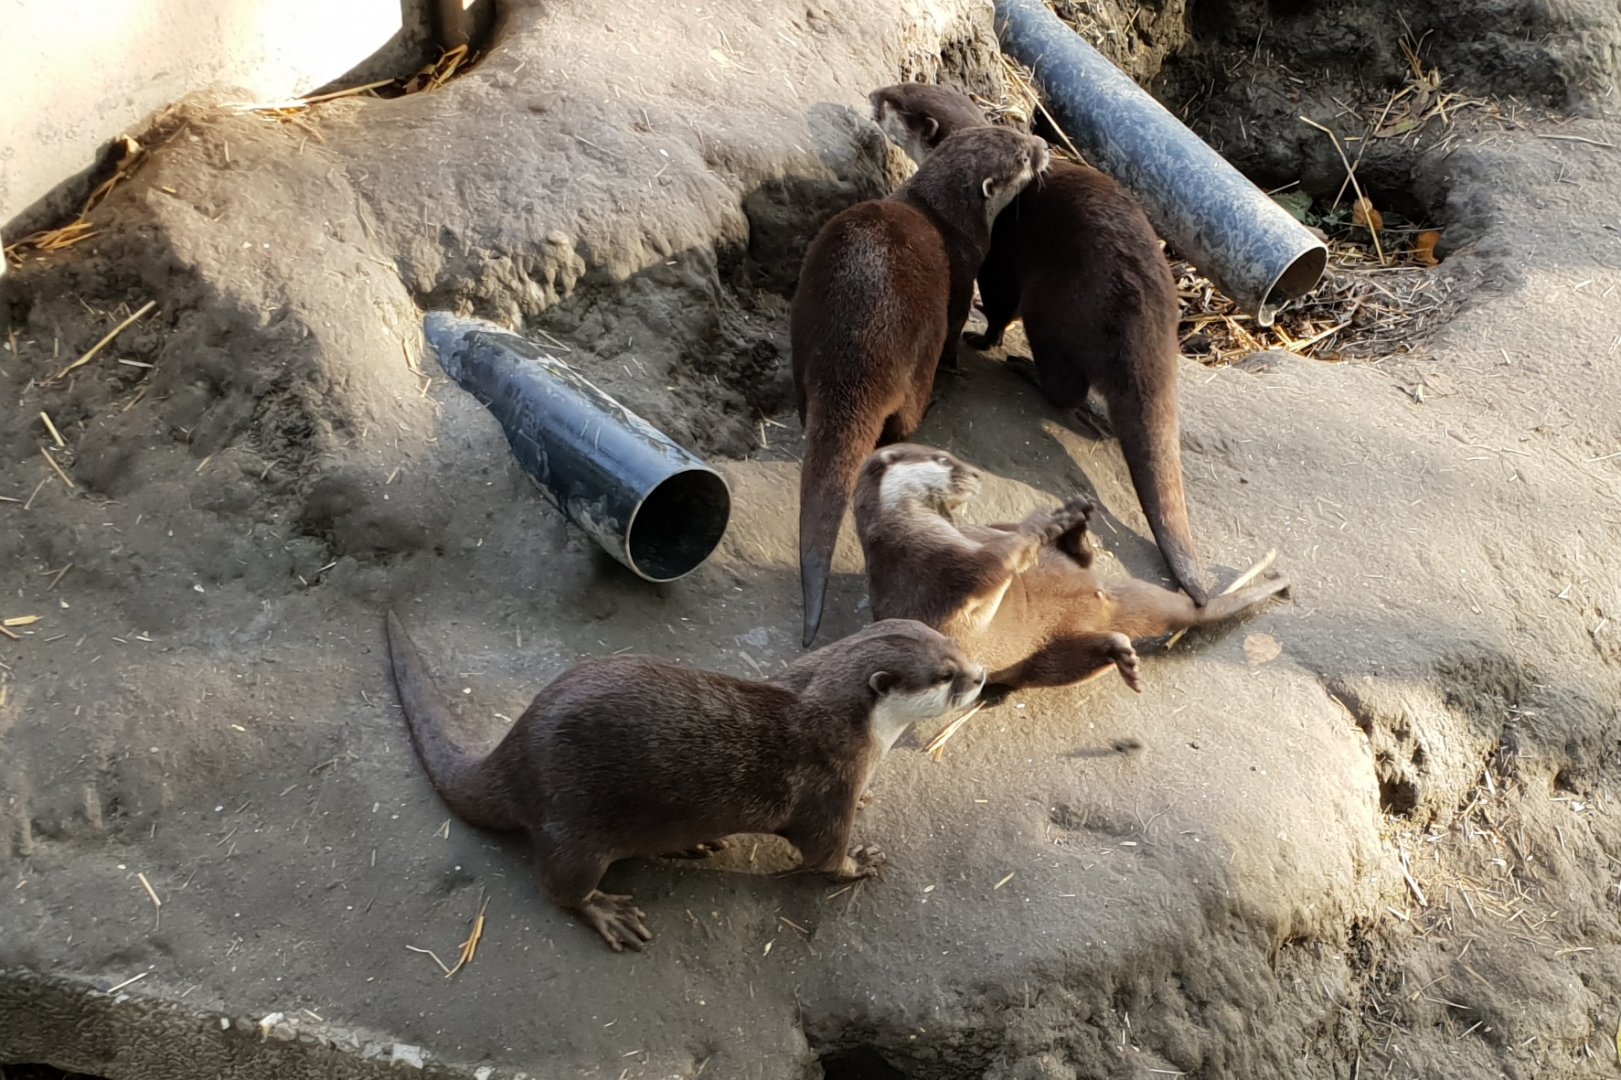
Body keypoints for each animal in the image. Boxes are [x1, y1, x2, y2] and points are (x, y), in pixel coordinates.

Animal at [384, 611, 985, 952]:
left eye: (954, 646)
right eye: (945, 676)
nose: (980, 675)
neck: (844, 724)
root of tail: (516, 750)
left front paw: (867, 801)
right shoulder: (825, 788)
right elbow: (824, 854)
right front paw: (860, 860)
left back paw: (690, 844)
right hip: (572, 825)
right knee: (558, 887)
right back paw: (609, 912)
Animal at [792, 123, 1051, 648]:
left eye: (1011, 129)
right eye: (1021, 157)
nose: (1044, 146)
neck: (939, 212)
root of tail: (853, 358)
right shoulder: (965, 269)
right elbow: (958, 326)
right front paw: (961, 361)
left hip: (804, 326)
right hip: (914, 358)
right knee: (907, 414)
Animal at [851, 445, 1288, 694]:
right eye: (943, 460)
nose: (975, 473)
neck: (916, 525)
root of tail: (1105, 601)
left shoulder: (970, 533)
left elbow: (1000, 540)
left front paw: (1051, 521)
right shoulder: (934, 566)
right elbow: (990, 566)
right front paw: (1039, 525)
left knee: (1082, 563)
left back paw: (1076, 524)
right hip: (1041, 662)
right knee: (1081, 659)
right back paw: (1121, 654)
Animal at [869, 82, 1209, 607]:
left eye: (896, 102)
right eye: (907, 87)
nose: (871, 96)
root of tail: (1143, 319)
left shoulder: (997, 256)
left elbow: (997, 302)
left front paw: (982, 336)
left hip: (1053, 312)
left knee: (1063, 383)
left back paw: (1023, 367)